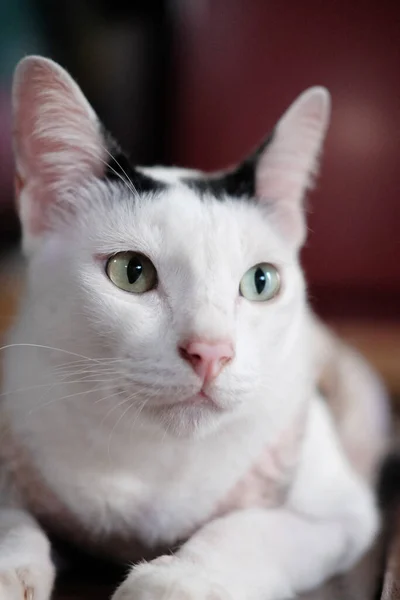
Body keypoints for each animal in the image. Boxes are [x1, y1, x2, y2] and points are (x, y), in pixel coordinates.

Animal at [0, 57, 390, 600]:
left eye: (261, 281)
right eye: (131, 272)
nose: (211, 352)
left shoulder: (341, 514)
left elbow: (248, 528)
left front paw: (179, 580)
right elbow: (14, 519)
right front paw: (10, 566)